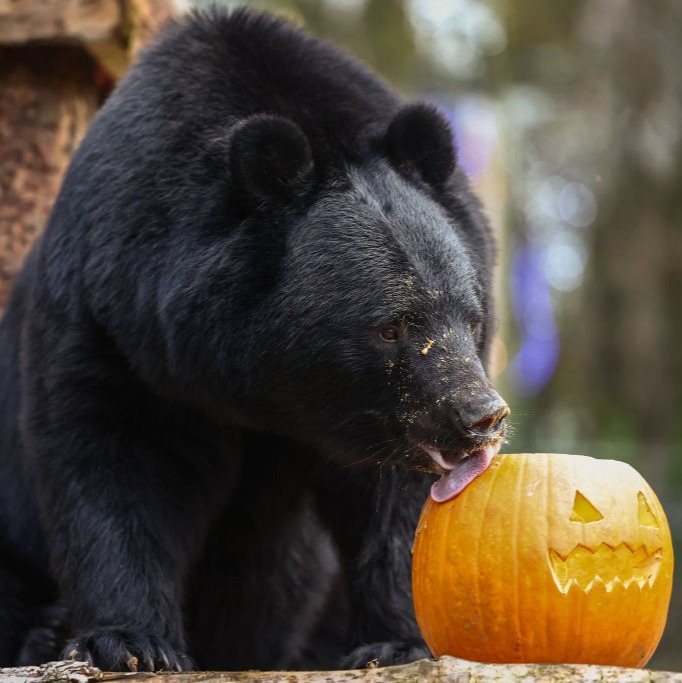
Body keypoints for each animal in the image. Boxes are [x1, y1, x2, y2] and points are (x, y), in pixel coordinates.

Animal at [0, 7, 509, 672]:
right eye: (391, 327)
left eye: (470, 319)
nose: (480, 417)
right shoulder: (110, 317)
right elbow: (111, 453)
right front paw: (133, 643)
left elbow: (398, 502)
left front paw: (397, 640)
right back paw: (40, 630)